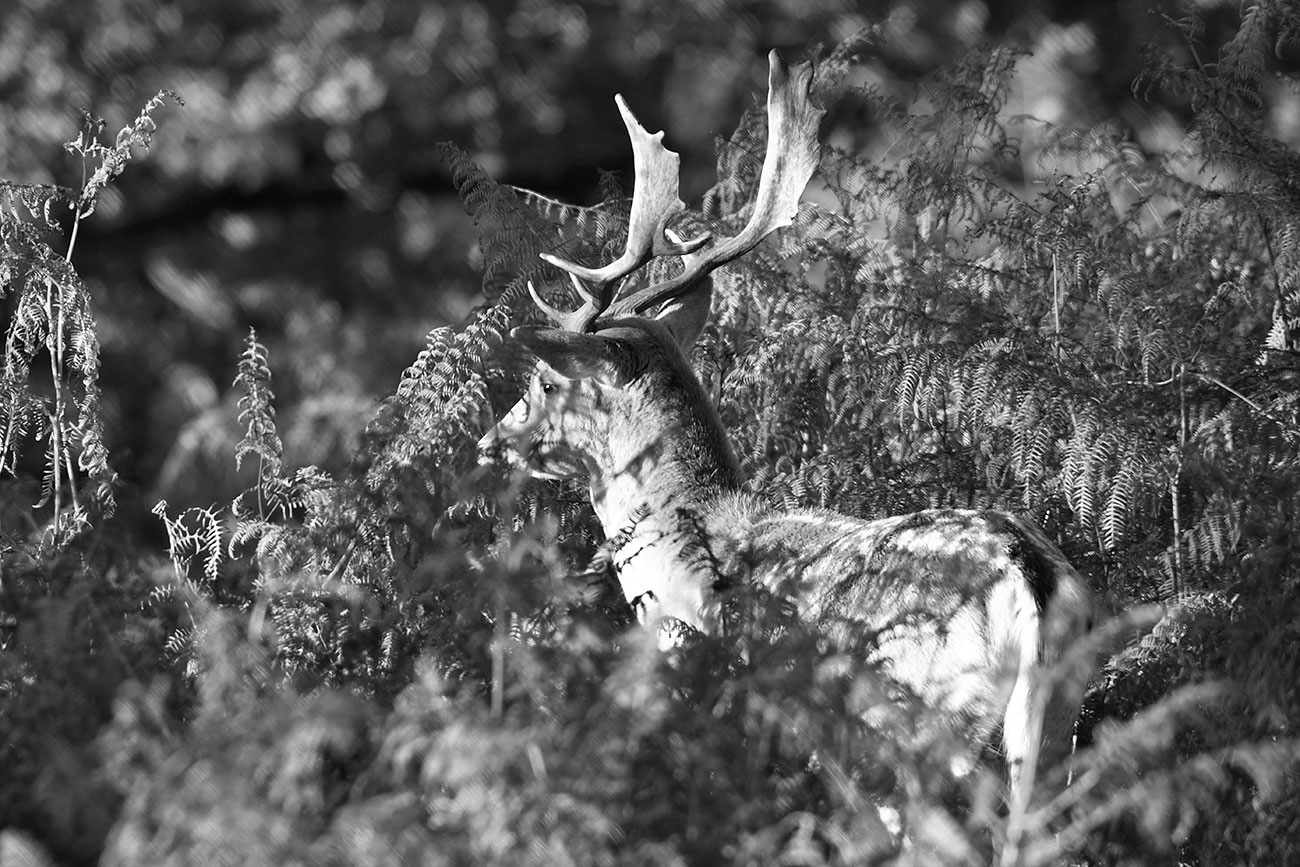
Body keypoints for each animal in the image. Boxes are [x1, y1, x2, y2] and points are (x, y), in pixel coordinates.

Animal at [477, 51, 1095, 815]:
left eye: (545, 382)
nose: (489, 443)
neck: (686, 547)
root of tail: (1030, 579)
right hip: (1055, 719)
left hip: (920, 716)